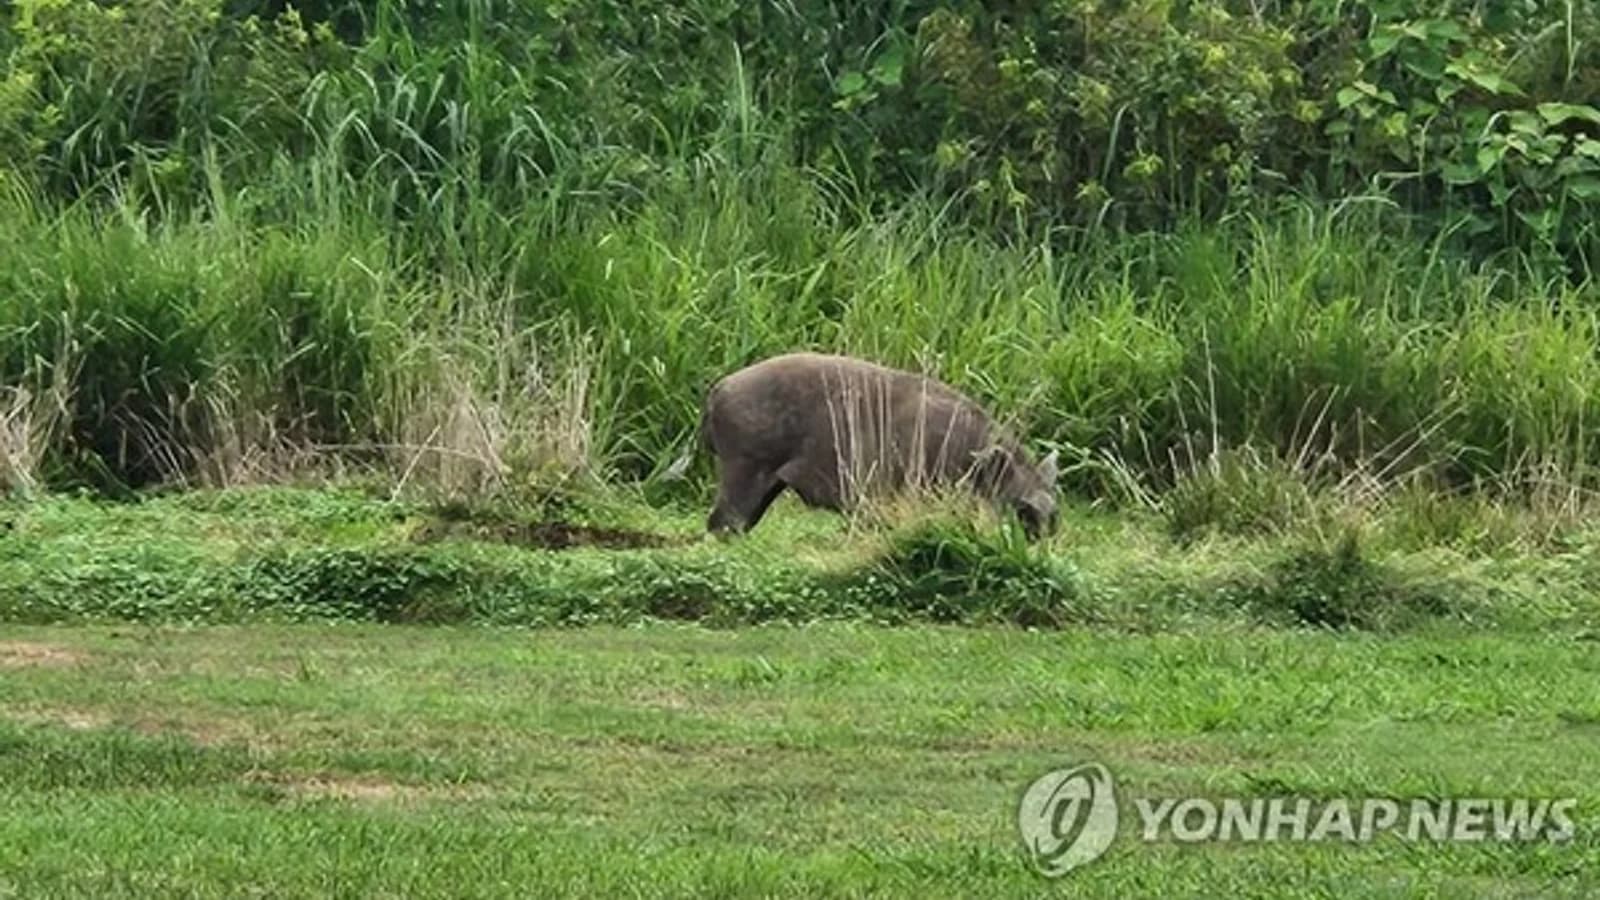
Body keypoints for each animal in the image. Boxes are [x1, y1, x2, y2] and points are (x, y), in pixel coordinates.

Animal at [696, 352, 1059, 538]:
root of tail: (718, 389)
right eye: (1022, 508)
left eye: (1055, 511)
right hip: (743, 464)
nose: (1043, 539)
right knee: (722, 522)